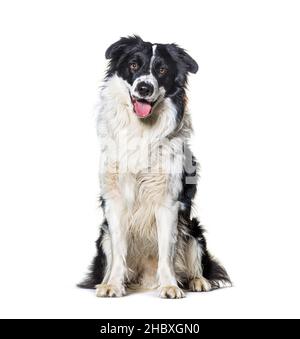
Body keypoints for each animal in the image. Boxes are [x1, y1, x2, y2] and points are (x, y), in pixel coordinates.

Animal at [78, 35, 231, 298]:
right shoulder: (114, 201)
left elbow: (166, 251)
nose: (144, 88)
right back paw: (106, 281)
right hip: (103, 234)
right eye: (133, 65)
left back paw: (197, 281)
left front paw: (170, 285)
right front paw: (113, 285)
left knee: (195, 259)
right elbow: (118, 252)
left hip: (193, 229)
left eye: (162, 70)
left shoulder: (168, 202)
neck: (141, 129)